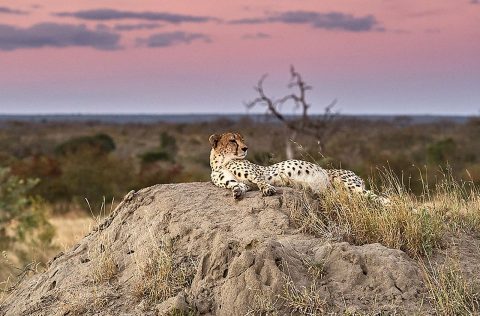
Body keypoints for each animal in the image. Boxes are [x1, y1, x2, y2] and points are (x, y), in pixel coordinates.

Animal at [208, 132, 388, 204]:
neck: (221, 162)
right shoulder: (238, 182)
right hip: (338, 192)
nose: (245, 148)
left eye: (242, 139)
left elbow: (261, 181)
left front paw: (268, 189)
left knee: (379, 197)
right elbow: (237, 185)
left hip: (348, 184)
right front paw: (237, 192)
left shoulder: (256, 174)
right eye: (232, 140)